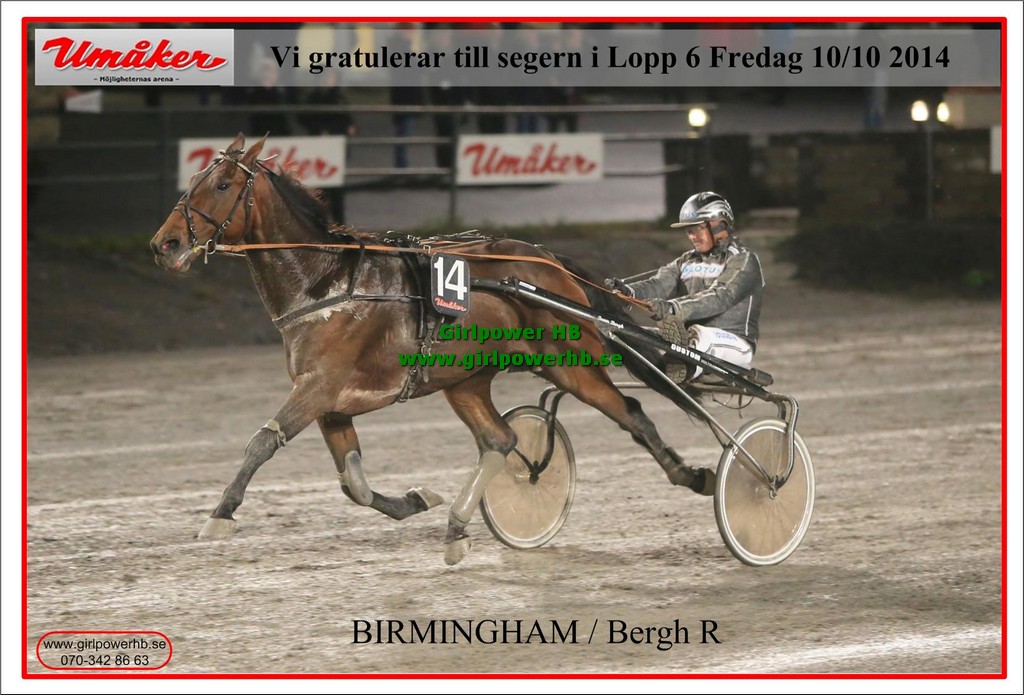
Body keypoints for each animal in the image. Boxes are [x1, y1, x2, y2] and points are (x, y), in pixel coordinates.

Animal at [149, 133, 715, 565]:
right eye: (193, 182)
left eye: (222, 184)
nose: (165, 244)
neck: (328, 283)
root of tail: (549, 261)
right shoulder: (333, 405)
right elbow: (353, 484)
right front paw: (416, 499)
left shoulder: (317, 388)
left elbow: (262, 443)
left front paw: (219, 515)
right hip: (465, 381)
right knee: (501, 440)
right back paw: (458, 525)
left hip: (571, 364)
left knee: (632, 411)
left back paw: (695, 475)